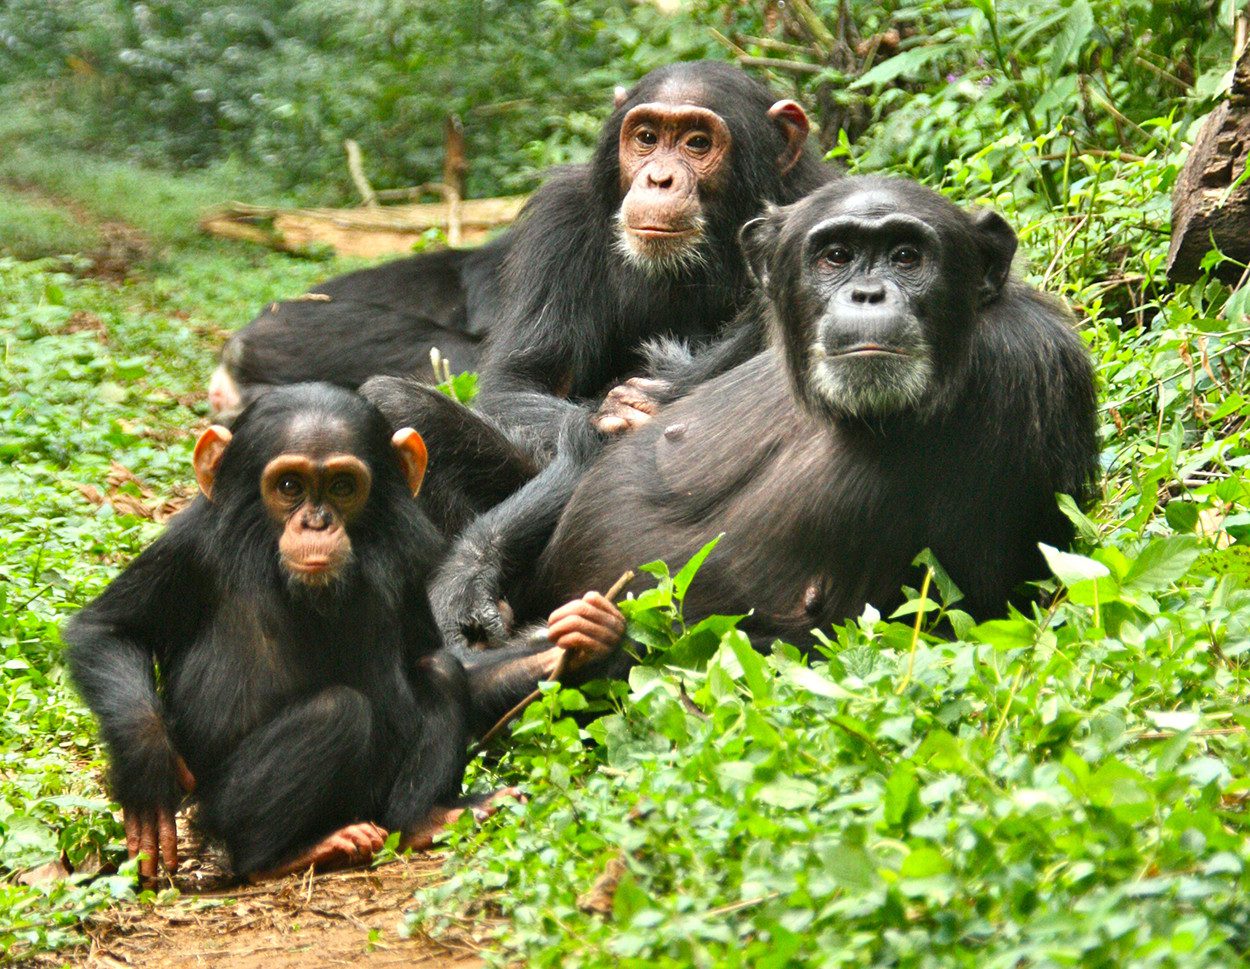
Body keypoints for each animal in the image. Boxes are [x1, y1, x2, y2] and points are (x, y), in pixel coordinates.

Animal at [64, 387, 487, 880]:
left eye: (343, 487)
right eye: (289, 486)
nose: (316, 522)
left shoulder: (409, 562)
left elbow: (427, 650)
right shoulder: (191, 546)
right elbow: (110, 629)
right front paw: (147, 769)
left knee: (440, 671)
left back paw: (423, 820)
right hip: (225, 808)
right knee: (337, 711)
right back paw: (287, 855)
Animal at [437, 176, 1095, 720]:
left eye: (908, 256)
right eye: (836, 256)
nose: (868, 293)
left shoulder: (1023, 370)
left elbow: (972, 615)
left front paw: (580, 647)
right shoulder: (744, 331)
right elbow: (611, 430)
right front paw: (466, 592)